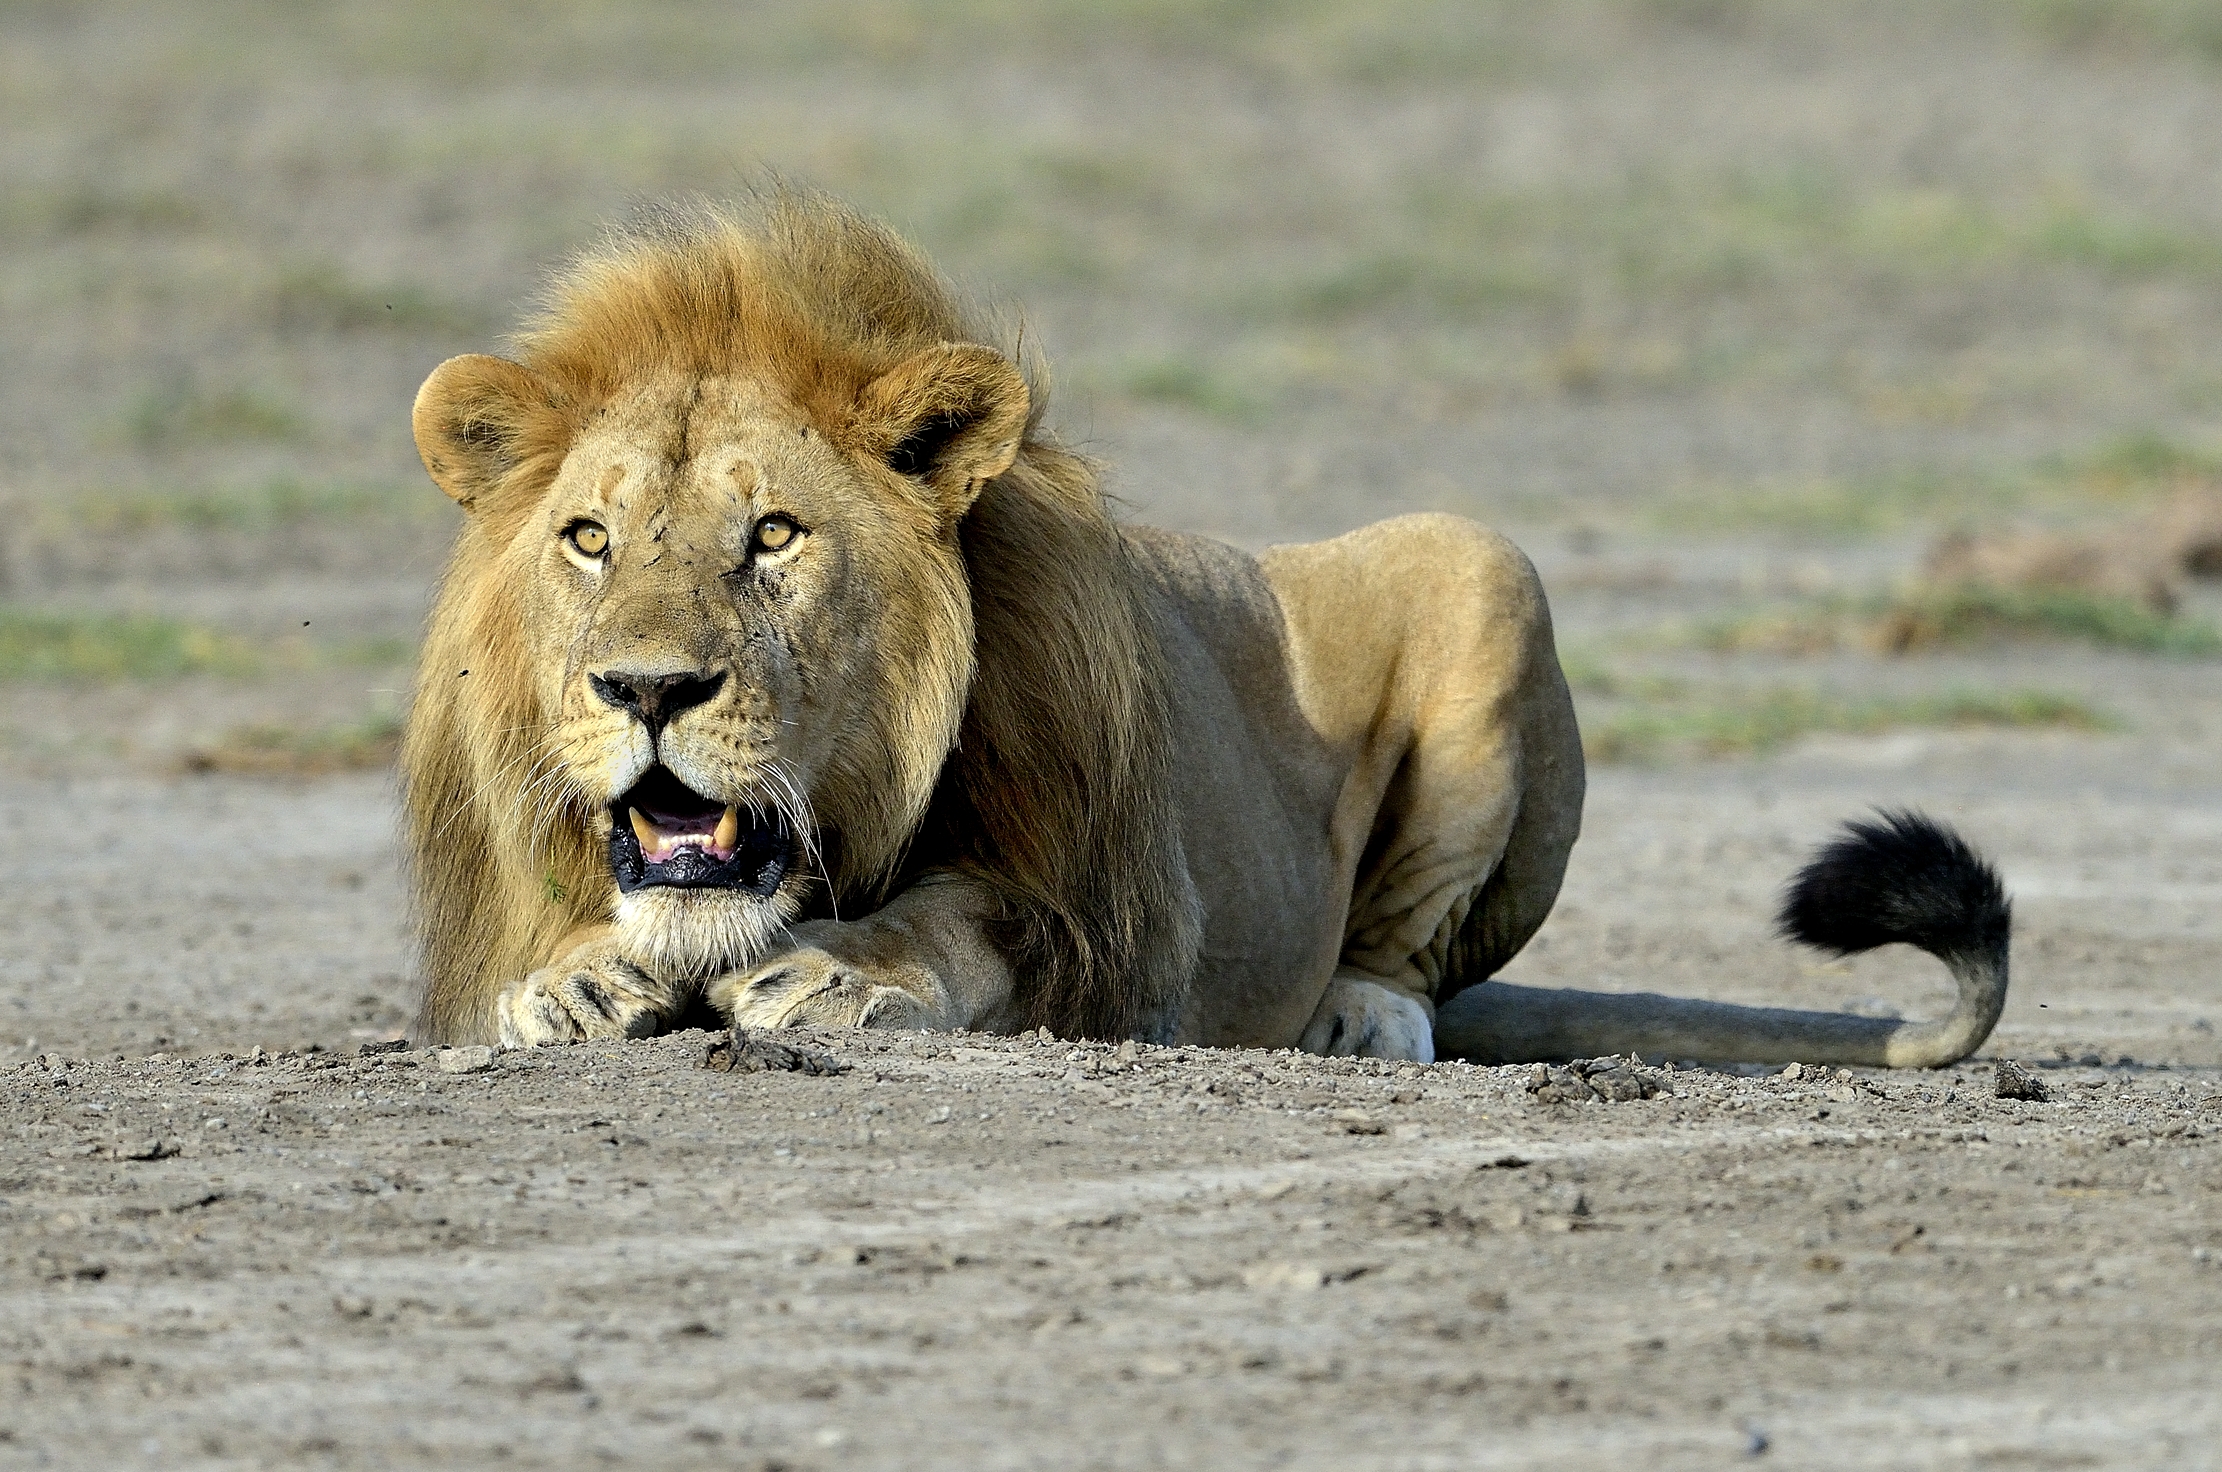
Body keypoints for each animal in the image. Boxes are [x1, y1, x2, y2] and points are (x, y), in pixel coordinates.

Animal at [403, 190, 2010, 1069]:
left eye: (776, 536)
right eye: (589, 538)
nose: (646, 688)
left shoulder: (1117, 929)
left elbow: (960, 916)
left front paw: (841, 973)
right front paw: (567, 976)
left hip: (1482, 567)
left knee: (1408, 955)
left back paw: (1358, 1018)